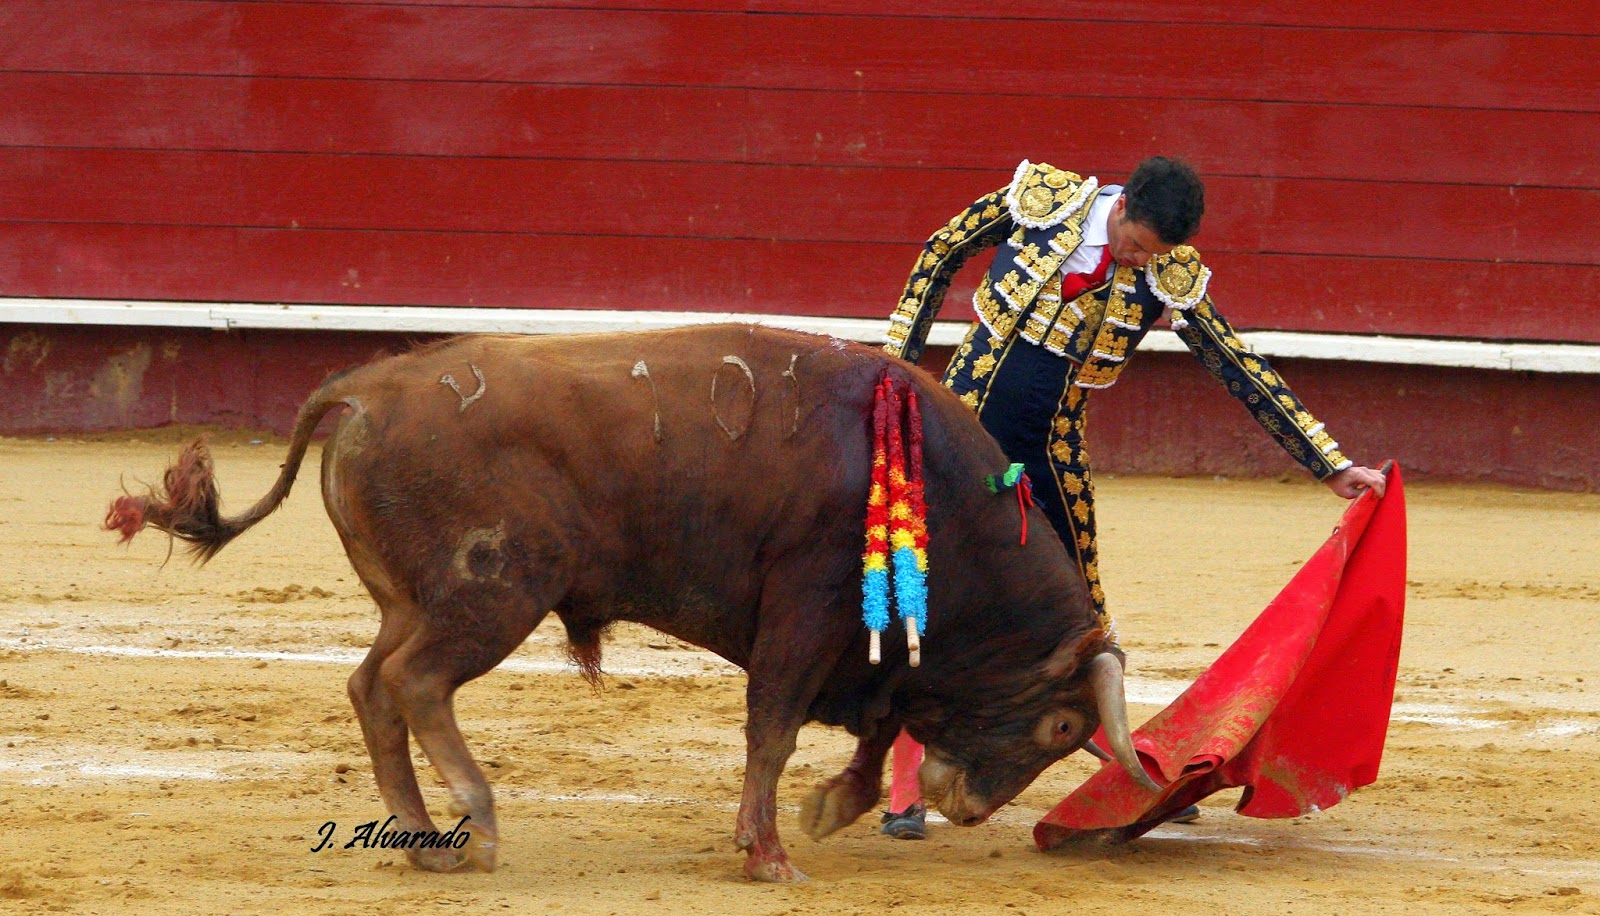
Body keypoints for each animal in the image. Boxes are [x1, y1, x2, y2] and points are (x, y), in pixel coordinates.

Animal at [104, 324, 1155, 882]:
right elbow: (773, 727)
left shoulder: (868, 650)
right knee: (414, 683)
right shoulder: (806, 613)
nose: (964, 806)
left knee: (372, 687)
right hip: (492, 592)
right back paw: (477, 822)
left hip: (415, 597)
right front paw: (768, 855)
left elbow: (868, 730)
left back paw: (425, 838)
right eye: (1066, 726)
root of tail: (364, 389)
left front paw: (823, 811)